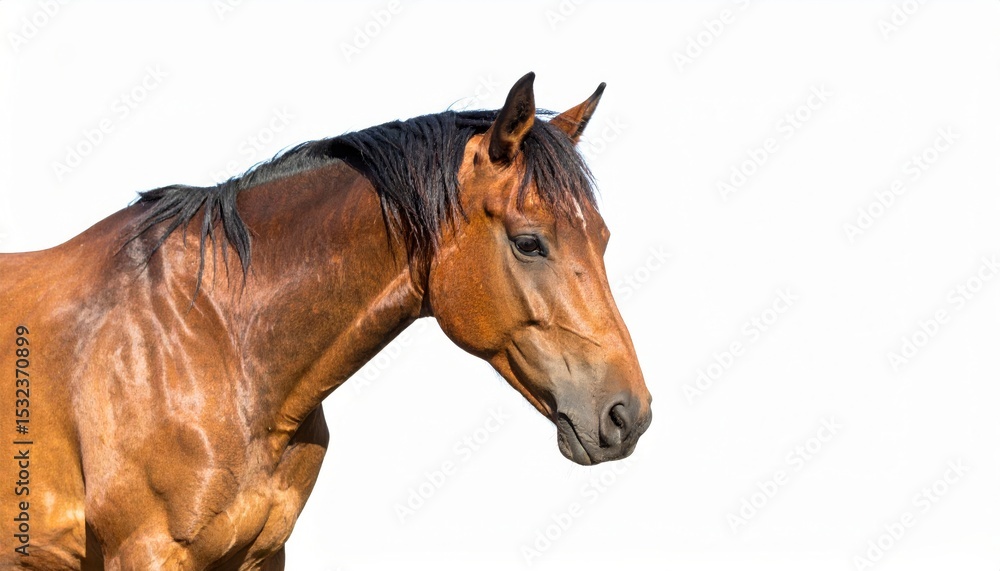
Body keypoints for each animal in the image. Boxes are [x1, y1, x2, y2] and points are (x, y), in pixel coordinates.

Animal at [0, 72, 652, 570]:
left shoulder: (263, 554)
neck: (212, 341)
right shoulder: (147, 552)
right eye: (528, 243)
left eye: (603, 238)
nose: (628, 416)